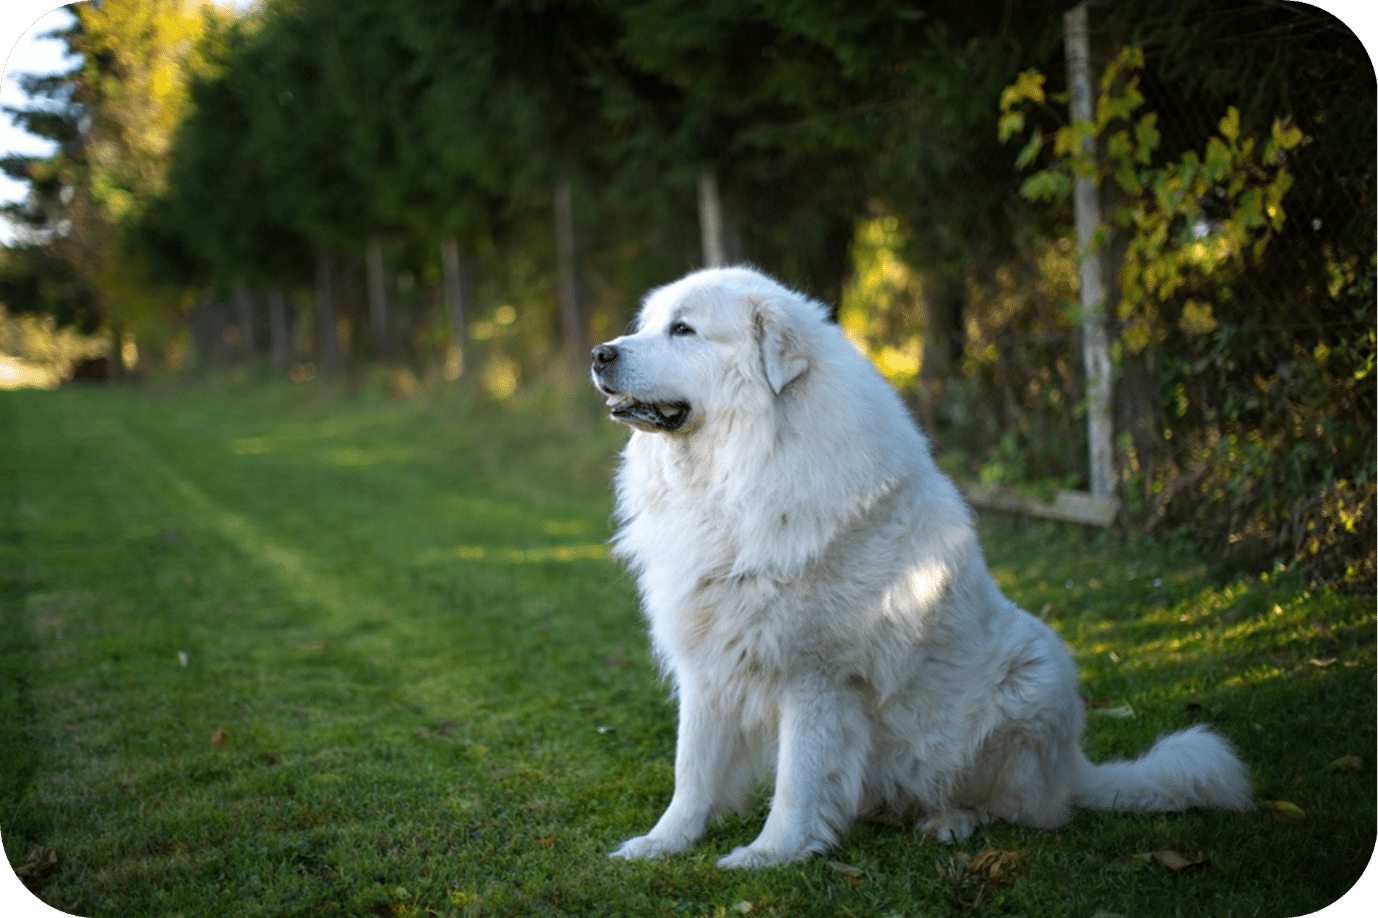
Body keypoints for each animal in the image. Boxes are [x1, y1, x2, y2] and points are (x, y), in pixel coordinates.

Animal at [587, 264, 1256, 865]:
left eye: (683, 330)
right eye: (646, 325)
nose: (599, 354)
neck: (743, 472)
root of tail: (1075, 769)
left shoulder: (816, 677)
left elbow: (798, 780)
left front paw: (771, 854)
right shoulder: (707, 663)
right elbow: (692, 771)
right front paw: (663, 843)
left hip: (1035, 672)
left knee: (1025, 811)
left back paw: (950, 823)